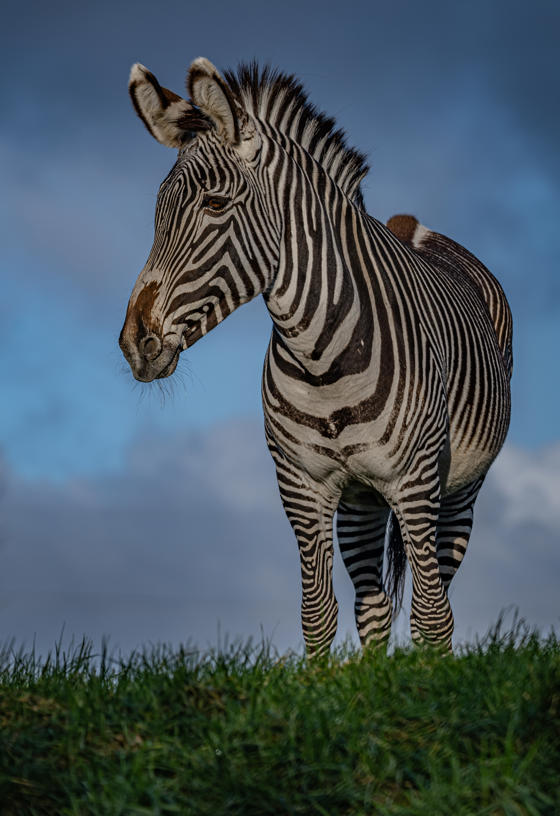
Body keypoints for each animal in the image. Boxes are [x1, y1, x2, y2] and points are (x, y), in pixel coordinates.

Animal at [120, 58, 513, 656]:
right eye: (158, 212)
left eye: (215, 205)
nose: (134, 342)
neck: (324, 360)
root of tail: (412, 225)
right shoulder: (302, 486)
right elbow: (318, 612)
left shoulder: (416, 482)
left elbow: (431, 616)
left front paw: (431, 677)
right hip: (360, 501)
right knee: (372, 606)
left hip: (460, 490)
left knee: (435, 591)